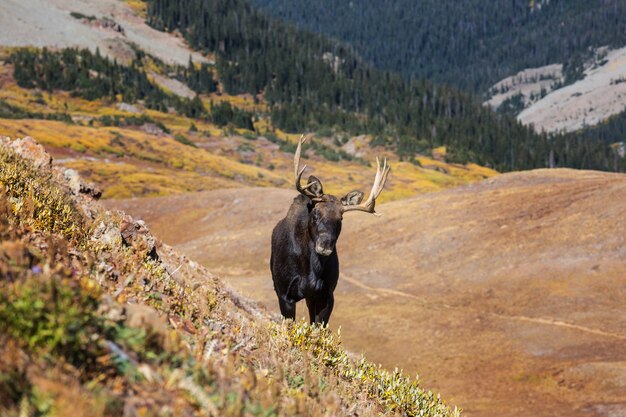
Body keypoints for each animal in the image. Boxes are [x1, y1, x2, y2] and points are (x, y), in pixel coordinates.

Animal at [270, 135, 388, 324]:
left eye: (340, 218)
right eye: (316, 213)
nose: (324, 246)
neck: (311, 269)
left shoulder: (326, 295)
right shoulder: (284, 293)